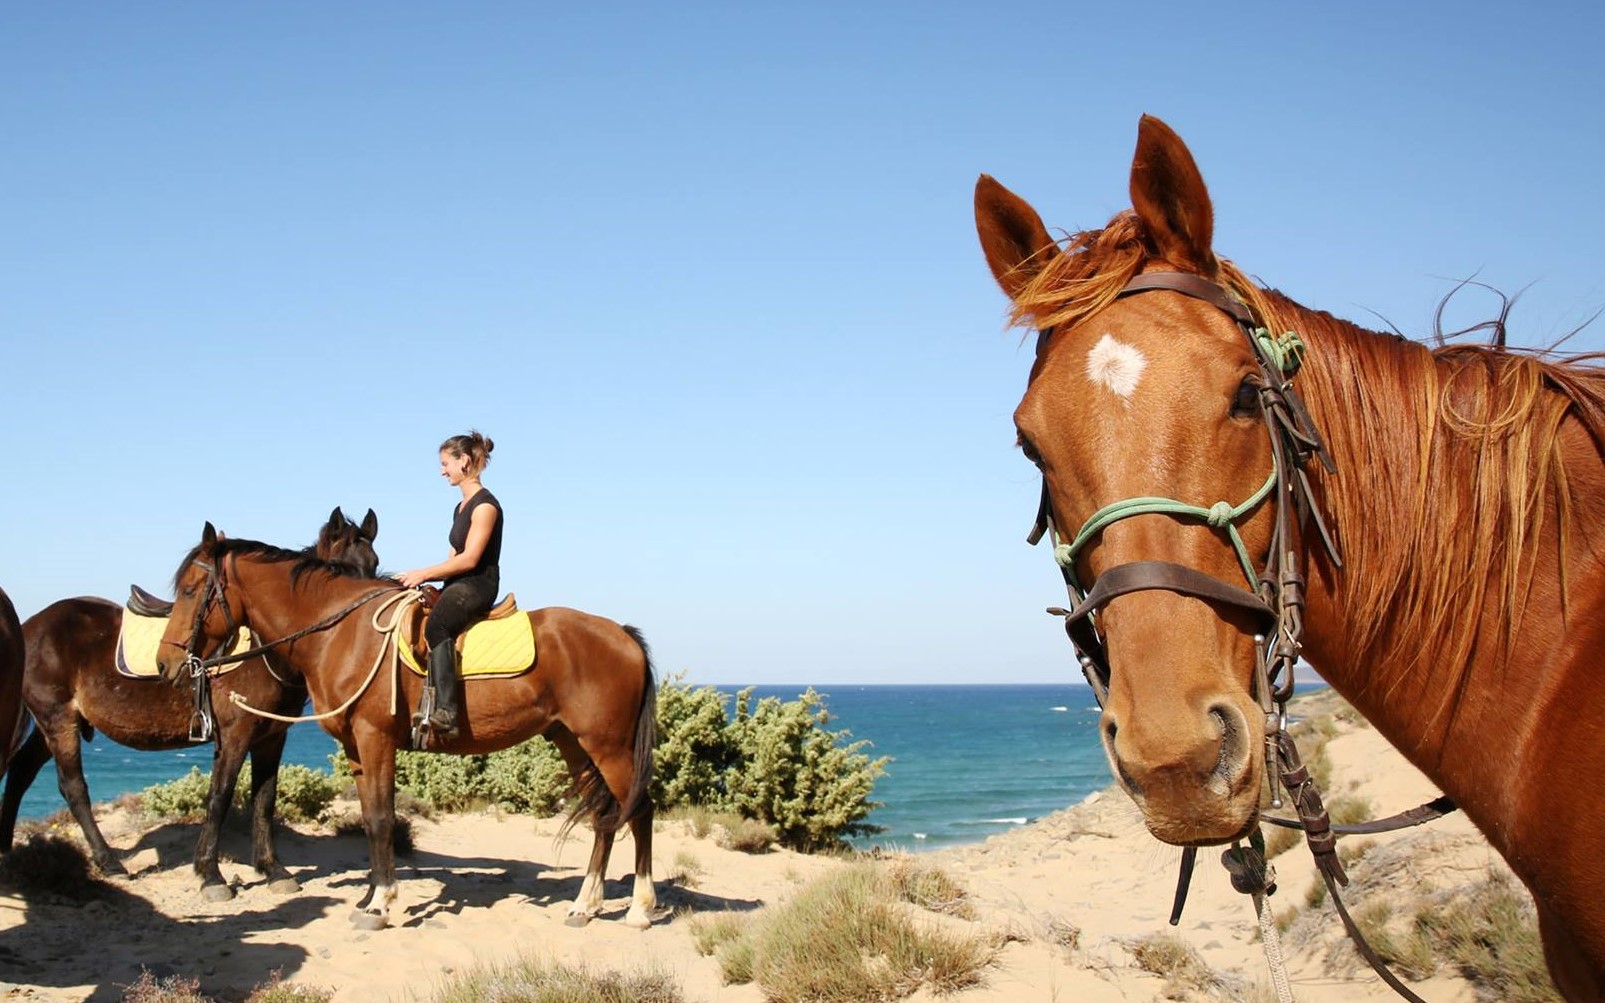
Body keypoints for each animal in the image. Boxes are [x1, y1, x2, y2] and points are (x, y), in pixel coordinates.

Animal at [0, 507, 380, 903]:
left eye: (374, 563)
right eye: (334, 571)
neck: (265, 651)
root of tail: (29, 626)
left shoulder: (272, 736)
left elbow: (265, 799)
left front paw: (273, 869)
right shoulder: (234, 735)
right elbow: (219, 797)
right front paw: (210, 874)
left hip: (54, 725)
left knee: (21, 772)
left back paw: (7, 852)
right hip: (59, 721)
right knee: (73, 788)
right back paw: (108, 861)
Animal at [155, 524, 659, 931]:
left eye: (190, 589)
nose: (166, 664)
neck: (341, 633)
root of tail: (623, 635)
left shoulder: (375, 739)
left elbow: (381, 819)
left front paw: (381, 904)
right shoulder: (356, 747)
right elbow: (370, 818)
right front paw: (370, 897)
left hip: (608, 746)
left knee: (640, 810)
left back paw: (638, 909)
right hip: (574, 744)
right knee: (603, 817)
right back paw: (585, 906)